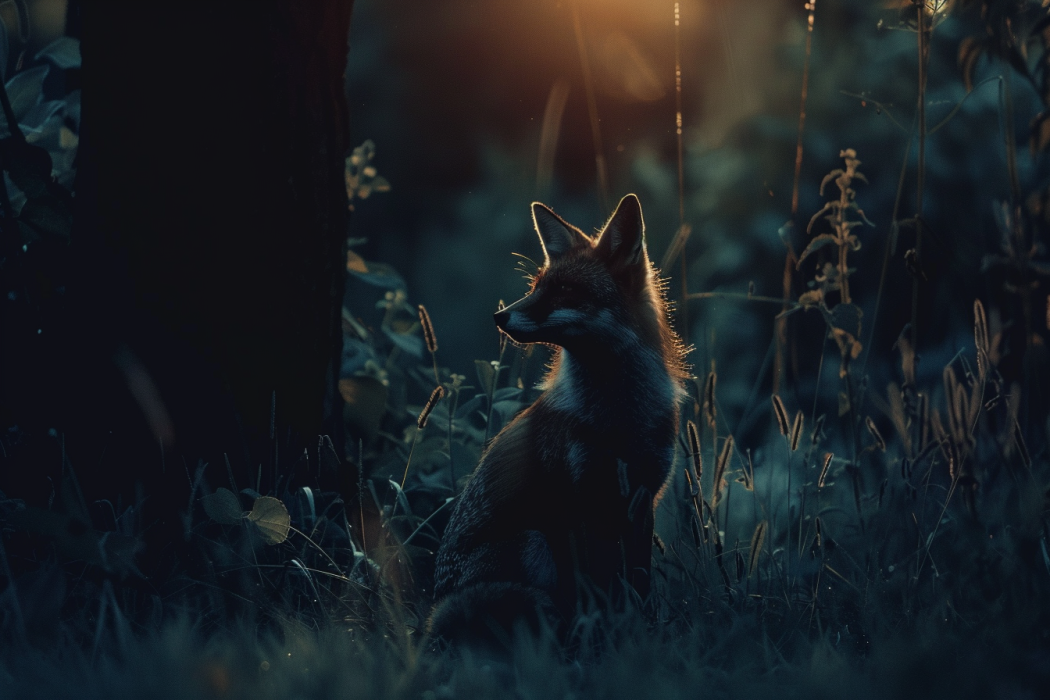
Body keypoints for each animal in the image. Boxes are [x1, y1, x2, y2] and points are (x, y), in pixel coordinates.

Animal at [429, 194, 687, 646]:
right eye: (536, 287)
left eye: (565, 290)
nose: (499, 317)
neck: (619, 418)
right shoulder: (577, 502)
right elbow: (593, 589)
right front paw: (602, 638)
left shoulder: (641, 498)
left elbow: (638, 585)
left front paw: (639, 635)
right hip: (531, 541)